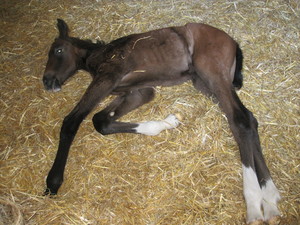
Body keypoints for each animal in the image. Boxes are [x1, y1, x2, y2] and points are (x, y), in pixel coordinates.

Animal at [42, 19, 282, 225]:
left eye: (58, 50)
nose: (46, 80)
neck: (102, 54)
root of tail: (232, 41)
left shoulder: (108, 77)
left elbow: (72, 121)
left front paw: (53, 181)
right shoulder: (138, 91)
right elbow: (101, 121)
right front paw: (167, 123)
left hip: (213, 74)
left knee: (240, 119)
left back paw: (254, 204)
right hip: (203, 82)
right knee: (247, 120)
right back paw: (270, 200)